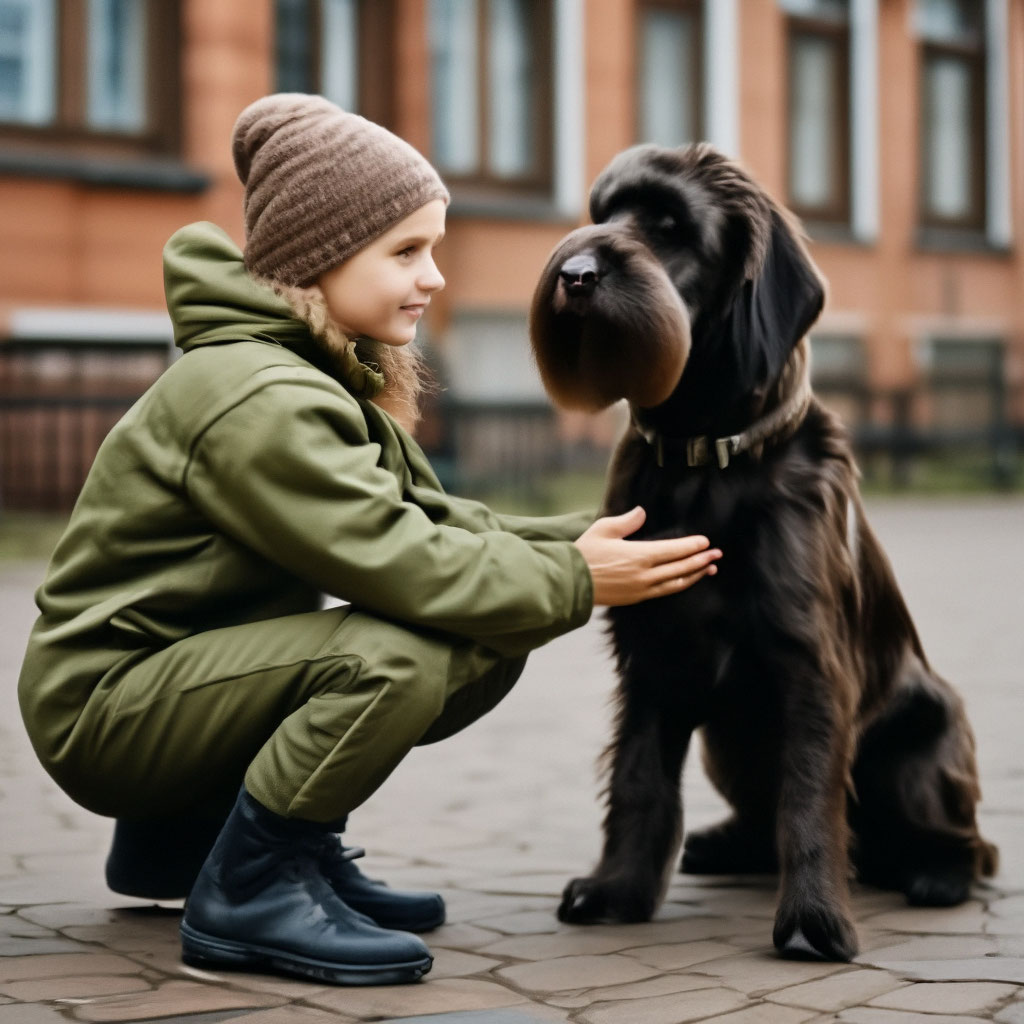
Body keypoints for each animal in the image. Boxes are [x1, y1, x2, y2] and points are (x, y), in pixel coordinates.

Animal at [532, 142, 995, 958]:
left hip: (927, 738)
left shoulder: (810, 666)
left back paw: (934, 873)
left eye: (671, 227)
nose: (575, 274)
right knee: (757, 819)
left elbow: (808, 797)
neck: (703, 464)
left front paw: (813, 918)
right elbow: (638, 779)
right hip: (725, 741)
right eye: (604, 213)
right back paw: (721, 846)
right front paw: (619, 888)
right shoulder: (650, 659)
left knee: (968, 844)